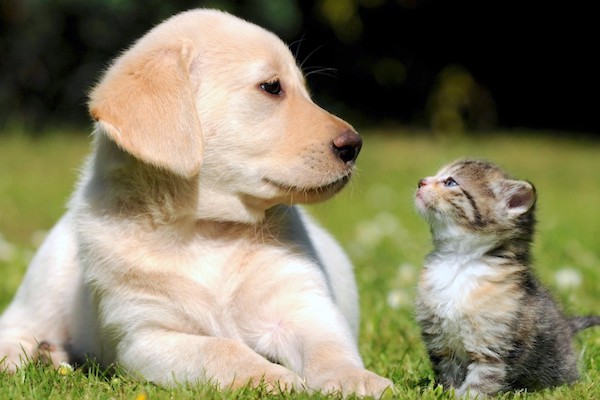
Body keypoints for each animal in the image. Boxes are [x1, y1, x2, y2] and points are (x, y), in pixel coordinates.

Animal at [0, 7, 392, 398]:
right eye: (272, 87)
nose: (354, 145)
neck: (206, 230)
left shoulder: (303, 305)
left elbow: (328, 346)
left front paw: (357, 379)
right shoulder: (148, 336)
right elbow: (222, 349)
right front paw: (273, 379)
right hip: (46, 282)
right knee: (16, 324)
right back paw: (26, 356)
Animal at [414, 159, 596, 396]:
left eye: (450, 182)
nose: (420, 181)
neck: (458, 263)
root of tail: (567, 325)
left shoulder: (494, 346)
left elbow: (482, 379)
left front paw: (469, 396)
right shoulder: (441, 343)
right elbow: (448, 373)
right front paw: (446, 393)